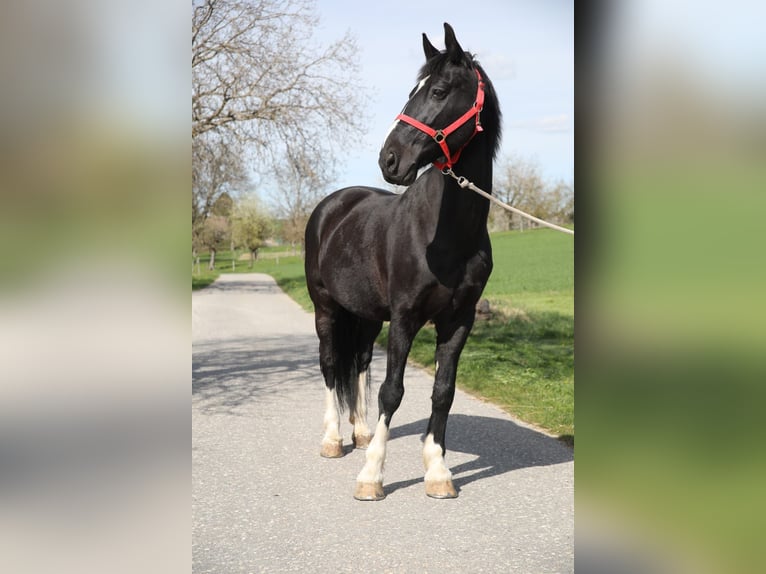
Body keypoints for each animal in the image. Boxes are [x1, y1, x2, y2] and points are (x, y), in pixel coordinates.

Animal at [304, 22, 501, 500]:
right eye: (413, 90)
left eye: (440, 90)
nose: (389, 159)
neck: (445, 234)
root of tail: (331, 206)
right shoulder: (407, 316)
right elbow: (392, 392)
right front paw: (372, 476)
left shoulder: (459, 320)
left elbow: (443, 391)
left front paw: (438, 473)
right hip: (325, 308)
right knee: (330, 365)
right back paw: (333, 440)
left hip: (366, 314)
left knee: (357, 363)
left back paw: (359, 433)